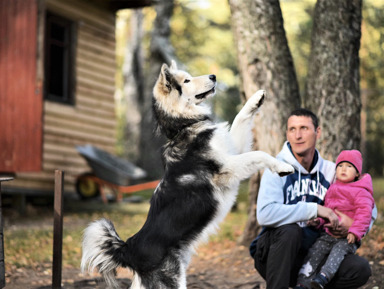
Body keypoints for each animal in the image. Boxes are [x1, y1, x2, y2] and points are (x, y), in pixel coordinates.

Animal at [81, 59, 294, 286]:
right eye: (187, 81)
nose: (213, 76)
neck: (184, 125)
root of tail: (128, 250)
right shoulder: (226, 168)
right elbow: (259, 154)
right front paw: (282, 167)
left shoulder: (232, 150)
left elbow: (240, 119)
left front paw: (256, 99)